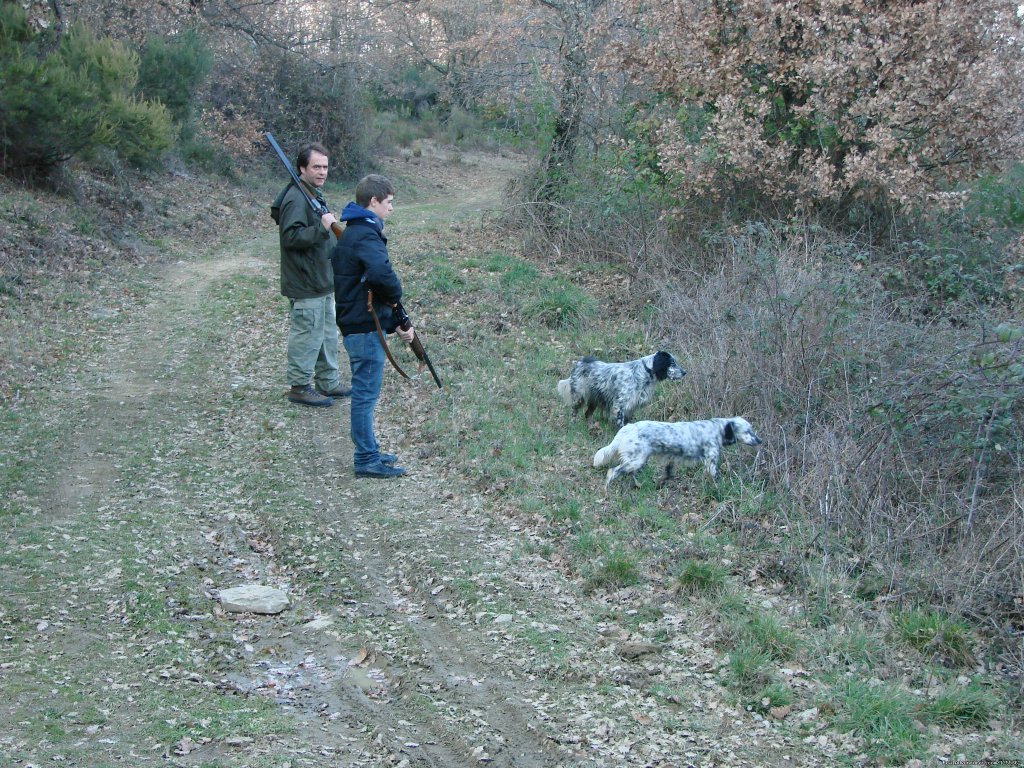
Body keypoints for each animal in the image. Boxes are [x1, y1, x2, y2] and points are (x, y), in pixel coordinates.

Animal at [593, 417, 761, 489]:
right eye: (748, 431)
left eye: (752, 430)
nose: (760, 440)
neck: (717, 429)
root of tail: (628, 427)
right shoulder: (711, 462)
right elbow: (715, 477)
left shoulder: (672, 458)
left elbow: (668, 473)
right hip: (636, 460)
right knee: (612, 471)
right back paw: (607, 489)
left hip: (637, 459)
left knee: (628, 473)